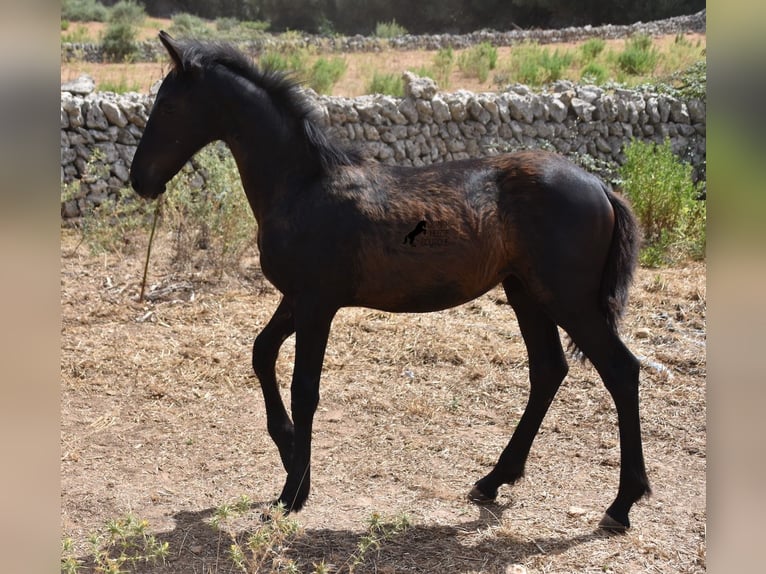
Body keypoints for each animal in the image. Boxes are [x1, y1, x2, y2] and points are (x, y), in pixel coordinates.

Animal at [129, 33, 652, 532]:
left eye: (169, 105)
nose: (139, 180)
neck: (302, 186)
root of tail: (601, 187)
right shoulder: (297, 298)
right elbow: (262, 352)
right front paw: (290, 450)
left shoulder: (317, 304)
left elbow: (305, 388)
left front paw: (292, 493)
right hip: (525, 292)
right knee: (548, 370)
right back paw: (492, 481)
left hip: (569, 299)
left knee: (621, 370)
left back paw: (622, 505)